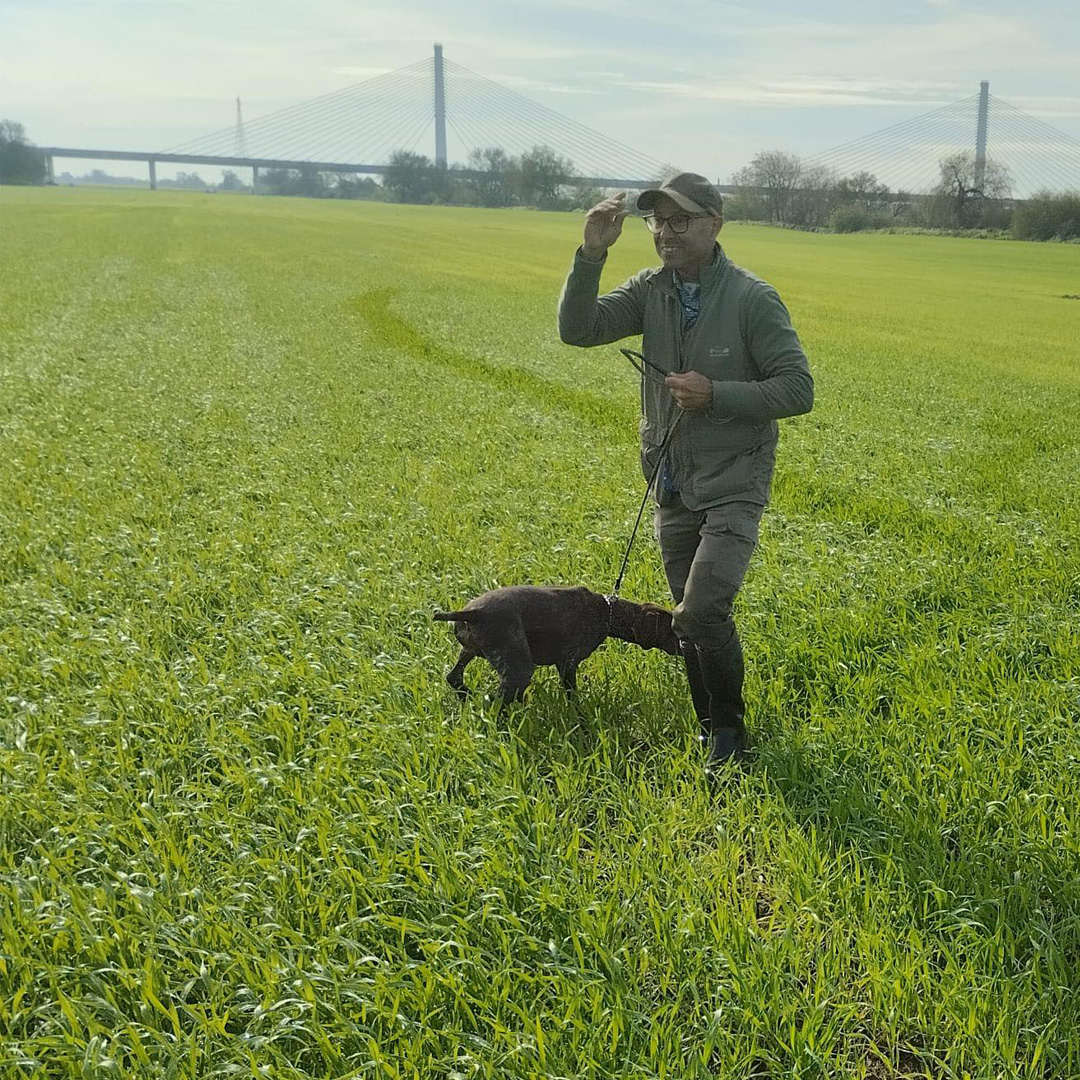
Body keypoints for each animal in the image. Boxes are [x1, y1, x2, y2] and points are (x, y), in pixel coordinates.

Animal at [434, 583, 678, 699]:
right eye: (672, 630)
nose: (684, 646)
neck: (607, 612)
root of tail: (473, 613)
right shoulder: (567, 663)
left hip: (469, 650)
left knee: (453, 677)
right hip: (518, 668)